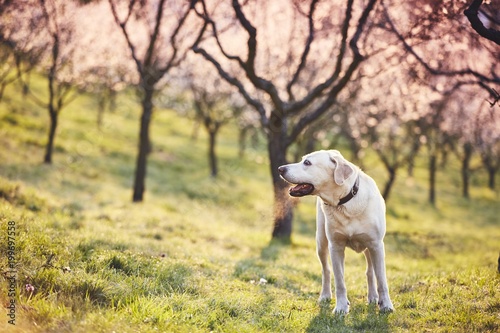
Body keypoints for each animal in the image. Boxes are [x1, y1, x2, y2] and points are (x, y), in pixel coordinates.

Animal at [280, 149, 392, 312]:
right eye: (302, 160)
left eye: (307, 163)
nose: (280, 169)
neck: (345, 202)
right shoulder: (336, 246)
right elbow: (339, 281)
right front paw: (341, 307)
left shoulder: (376, 245)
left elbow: (382, 280)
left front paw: (387, 305)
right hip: (321, 242)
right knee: (327, 270)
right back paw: (326, 295)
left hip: (369, 248)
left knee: (370, 272)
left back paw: (373, 297)